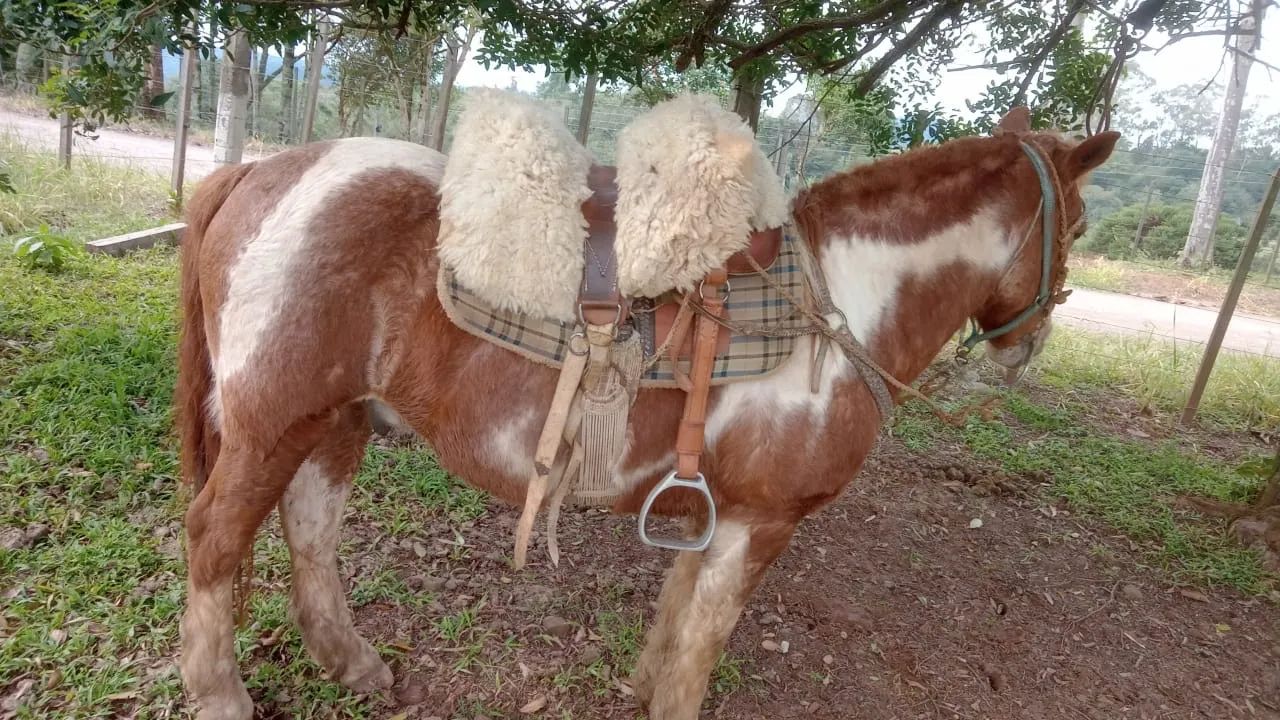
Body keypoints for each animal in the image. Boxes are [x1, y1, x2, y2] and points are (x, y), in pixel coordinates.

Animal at [174, 106, 1118, 720]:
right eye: (1076, 223)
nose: (1025, 348)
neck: (840, 300)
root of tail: (260, 169)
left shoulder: (716, 511)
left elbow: (676, 615)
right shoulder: (763, 522)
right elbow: (700, 649)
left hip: (336, 419)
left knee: (310, 527)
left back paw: (352, 663)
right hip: (272, 423)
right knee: (215, 537)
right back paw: (220, 694)